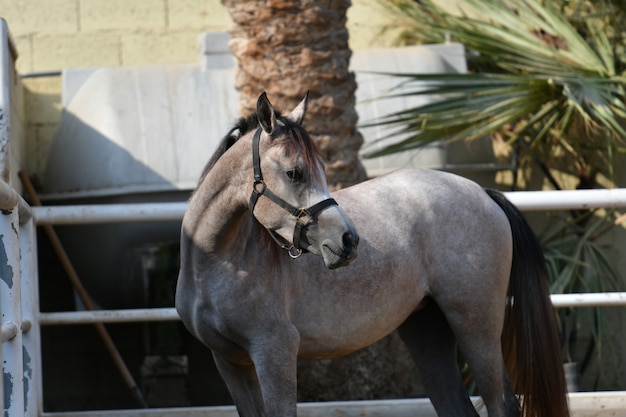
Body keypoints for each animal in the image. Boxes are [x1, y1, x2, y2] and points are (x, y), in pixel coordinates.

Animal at [174, 92, 564, 416]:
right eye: (294, 172)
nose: (348, 240)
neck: (217, 262)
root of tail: (483, 192)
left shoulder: (274, 353)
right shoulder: (230, 363)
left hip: (476, 325)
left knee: (502, 404)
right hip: (428, 332)